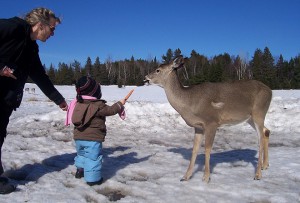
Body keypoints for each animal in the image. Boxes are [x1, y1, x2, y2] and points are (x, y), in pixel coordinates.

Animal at [144, 56, 274, 182]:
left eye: (158, 70)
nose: (145, 79)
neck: (189, 102)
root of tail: (270, 91)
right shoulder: (198, 127)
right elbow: (195, 149)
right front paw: (185, 177)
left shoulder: (212, 122)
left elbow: (207, 149)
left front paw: (206, 177)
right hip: (250, 118)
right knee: (266, 131)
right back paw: (265, 165)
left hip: (259, 112)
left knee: (260, 139)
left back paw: (258, 174)